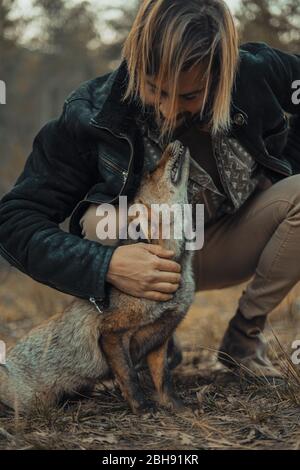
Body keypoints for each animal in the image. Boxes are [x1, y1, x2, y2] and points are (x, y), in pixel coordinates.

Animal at [0, 140, 195, 414]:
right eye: (151, 171)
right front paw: (142, 408)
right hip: (32, 400)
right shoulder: (110, 334)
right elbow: (129, 377)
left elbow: (164, 380)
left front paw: (177, 408)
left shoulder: (160, 339)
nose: (176, 141)